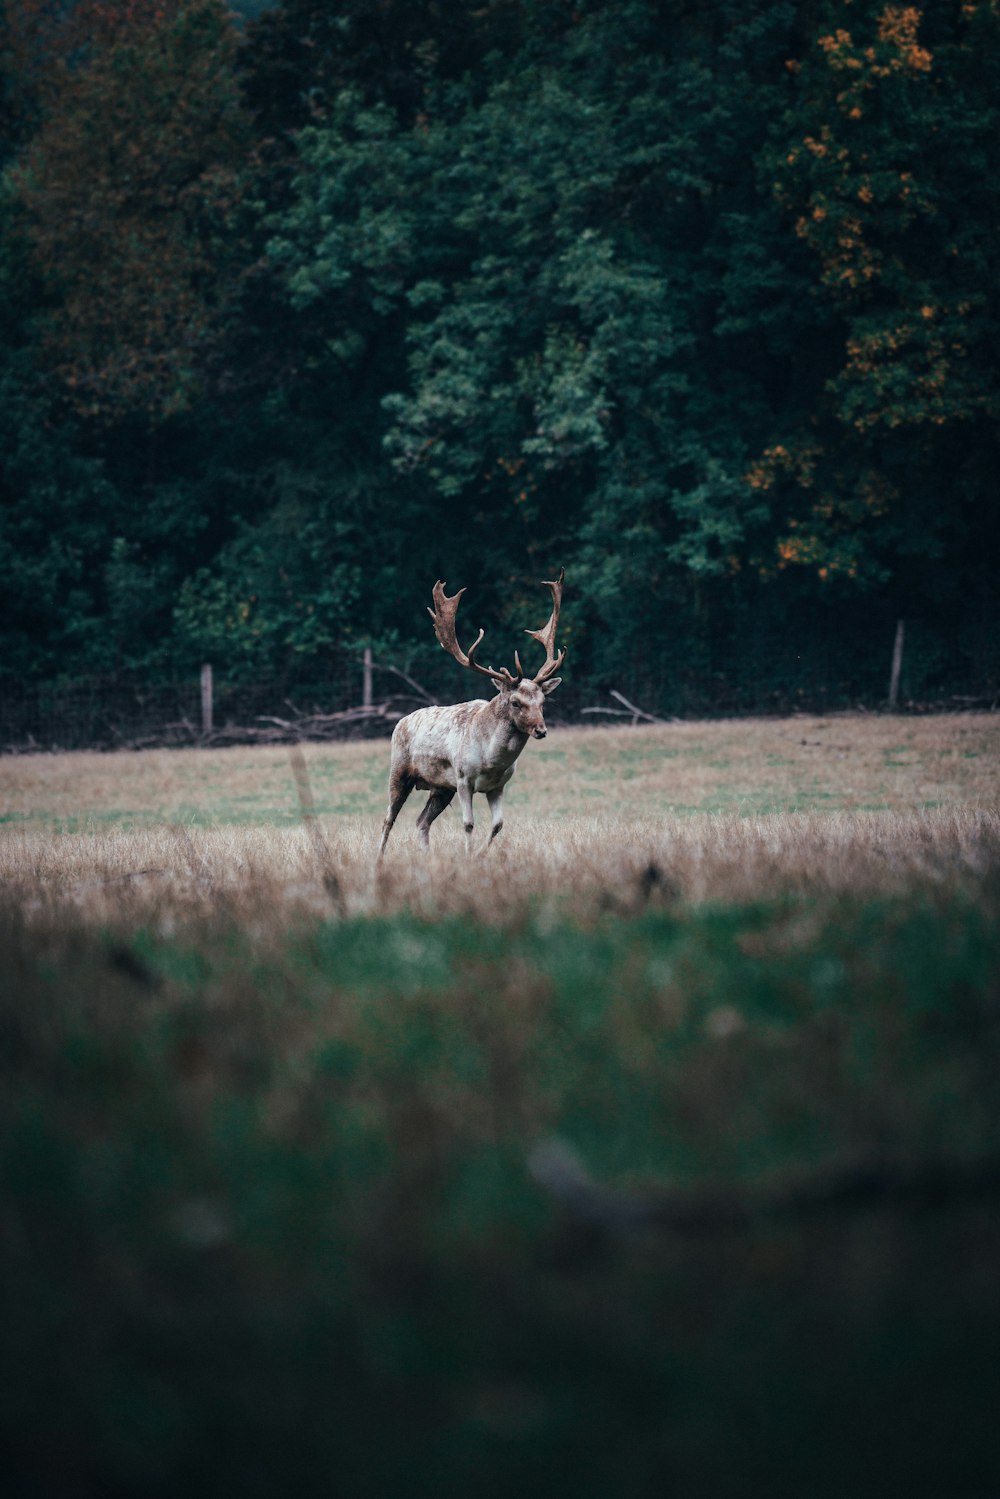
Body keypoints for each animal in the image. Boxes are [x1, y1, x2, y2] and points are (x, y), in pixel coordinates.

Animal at [374, 569, 563, 857]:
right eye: (516, 702)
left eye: (543, 701)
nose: (541, 730)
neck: (492, 760)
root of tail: (400, 722)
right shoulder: (463, 778)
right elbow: (468, 824)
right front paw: (468, 856)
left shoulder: (498, 785)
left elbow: (498, 825)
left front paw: (480, 855)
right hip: (399, 770)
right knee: (388, 818)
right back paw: (379, 858)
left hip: (441, 788)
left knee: (421, 821)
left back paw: (427, 857)